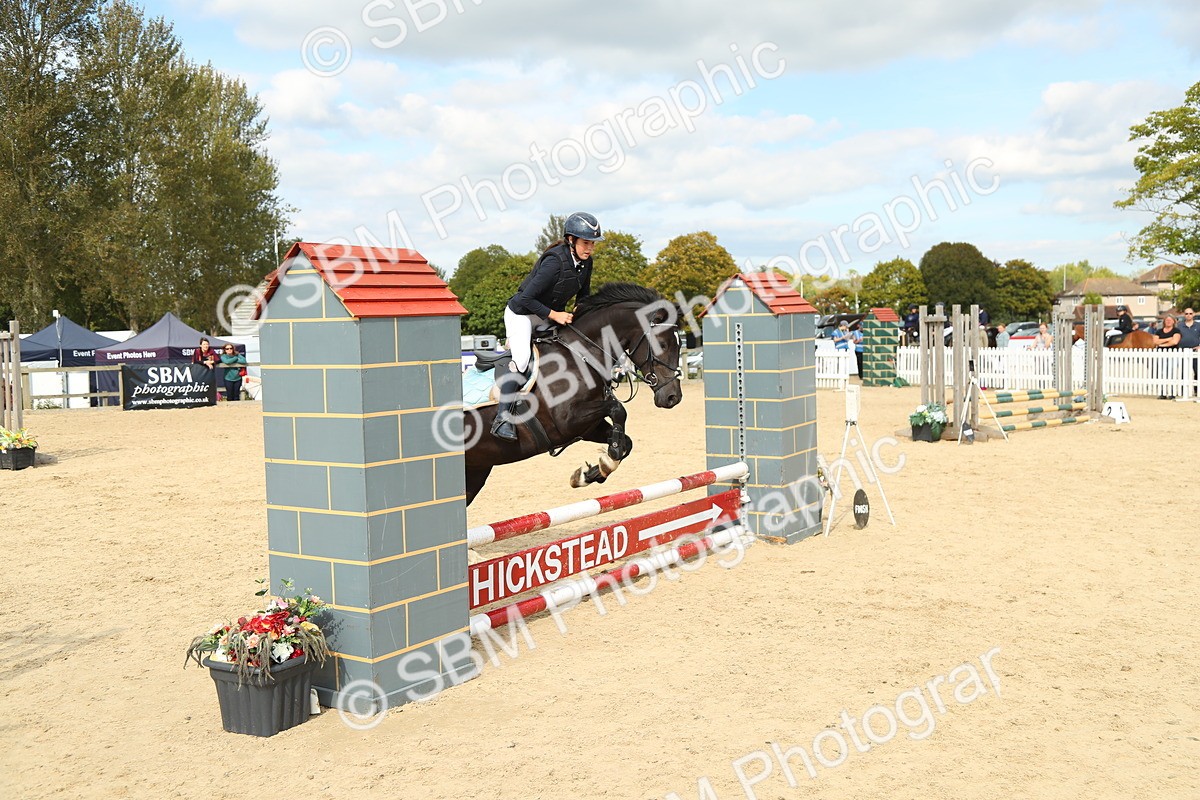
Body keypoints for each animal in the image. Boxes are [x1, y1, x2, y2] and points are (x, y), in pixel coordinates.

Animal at [463, 283, 683, 506]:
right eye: (662, 344)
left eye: (680, 344)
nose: (673, 397)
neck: (580, 353)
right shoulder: (566, 421)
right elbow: (618, 409)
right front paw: (610, 453)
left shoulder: (588, 427)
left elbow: (626, 442)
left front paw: (592, 472)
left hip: (476, 470)